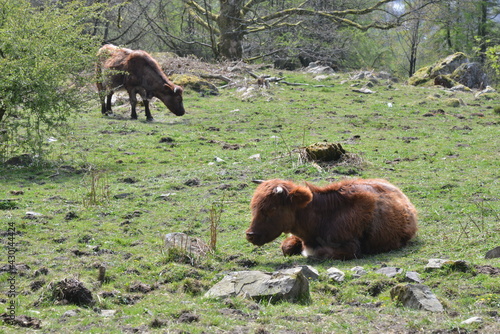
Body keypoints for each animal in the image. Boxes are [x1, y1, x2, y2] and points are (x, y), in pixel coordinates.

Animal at [246, 177, 418, 260]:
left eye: (272, 209)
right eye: (253, 207)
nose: (250, 235)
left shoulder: (351, 247)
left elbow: (318, 253)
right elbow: (286, 247)